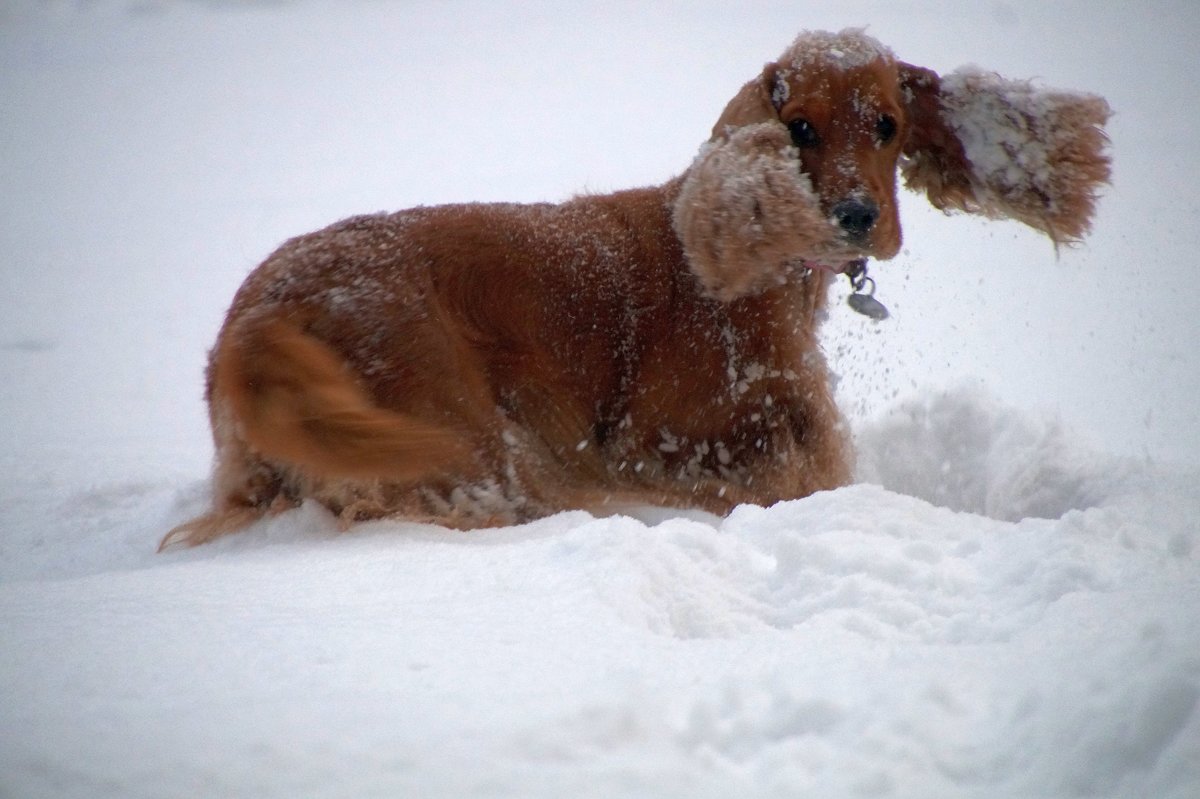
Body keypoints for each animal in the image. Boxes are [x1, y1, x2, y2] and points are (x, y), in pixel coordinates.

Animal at [157, 26, 1104, 547]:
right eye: (798, 127)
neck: (751, 279)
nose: (855, 216)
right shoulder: (660, 439)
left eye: (887, 124)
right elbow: (782, 472)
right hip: (455, 434)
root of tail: (256, 317)